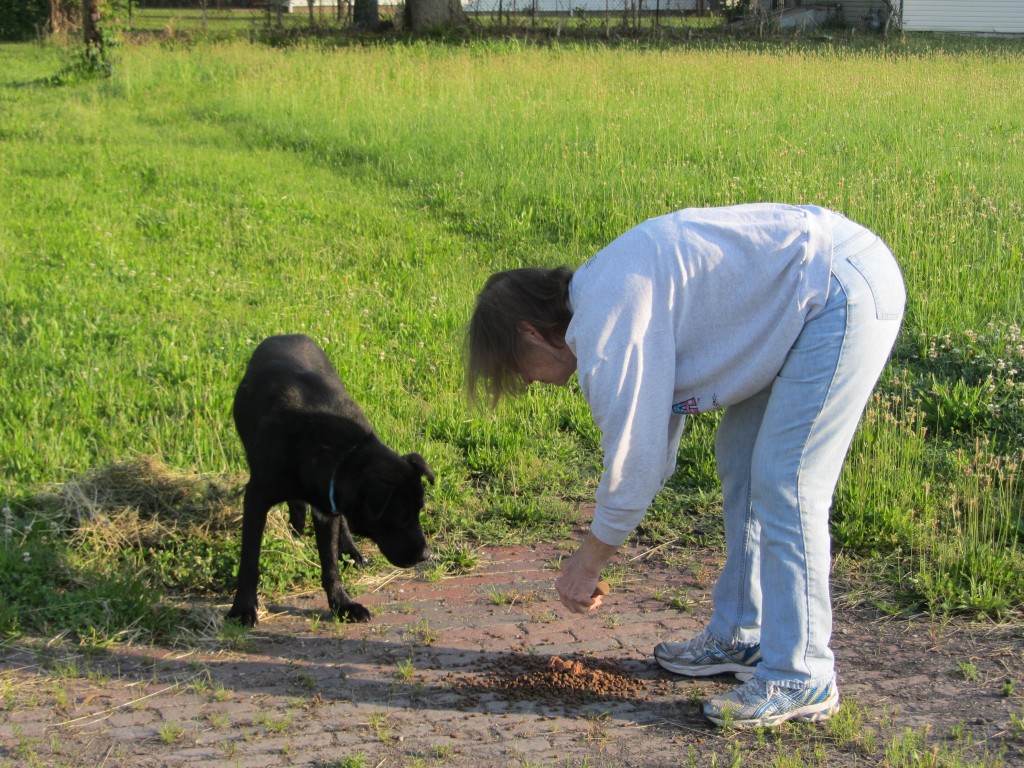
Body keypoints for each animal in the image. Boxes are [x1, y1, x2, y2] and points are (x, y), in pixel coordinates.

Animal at [226, 333, 434, 626]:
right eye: (401, 517)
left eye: (419, 513)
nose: (426, 555)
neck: (344, 454)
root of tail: (286, 335)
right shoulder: (256, 498)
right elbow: (249, 561)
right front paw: (243, 608)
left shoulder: (327, 504)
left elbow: (330, 563)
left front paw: (342, 604)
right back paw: (296, 533)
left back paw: (349, 550)